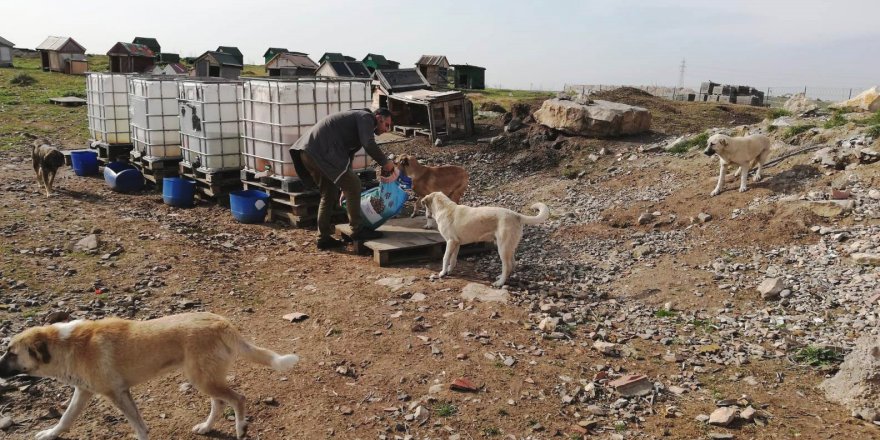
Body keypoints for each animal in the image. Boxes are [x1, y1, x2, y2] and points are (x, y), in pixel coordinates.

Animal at [0, 312, 300, 440]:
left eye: (11, 353)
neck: (66, 345)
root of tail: (220, 321)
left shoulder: (116, 394)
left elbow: (138, 426)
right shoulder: (85, 392)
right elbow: (65, 418)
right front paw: (50, 434)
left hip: (203, 379)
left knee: (237, 398)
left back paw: (240, 429)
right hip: (204, 378)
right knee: (219, 402)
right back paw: (206, 428)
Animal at [422, 191, 552, 288]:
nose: (427, 216)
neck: (444, 208)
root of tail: (516, 215)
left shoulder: (450, 242)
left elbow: (445, 258)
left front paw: (442, 273)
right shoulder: (456, 243)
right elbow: (453, 259)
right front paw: (449, 271)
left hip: (502, 248)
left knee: (507, 266)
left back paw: (500, 283)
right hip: (509, 248)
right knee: (512, 264)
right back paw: (502, 278)